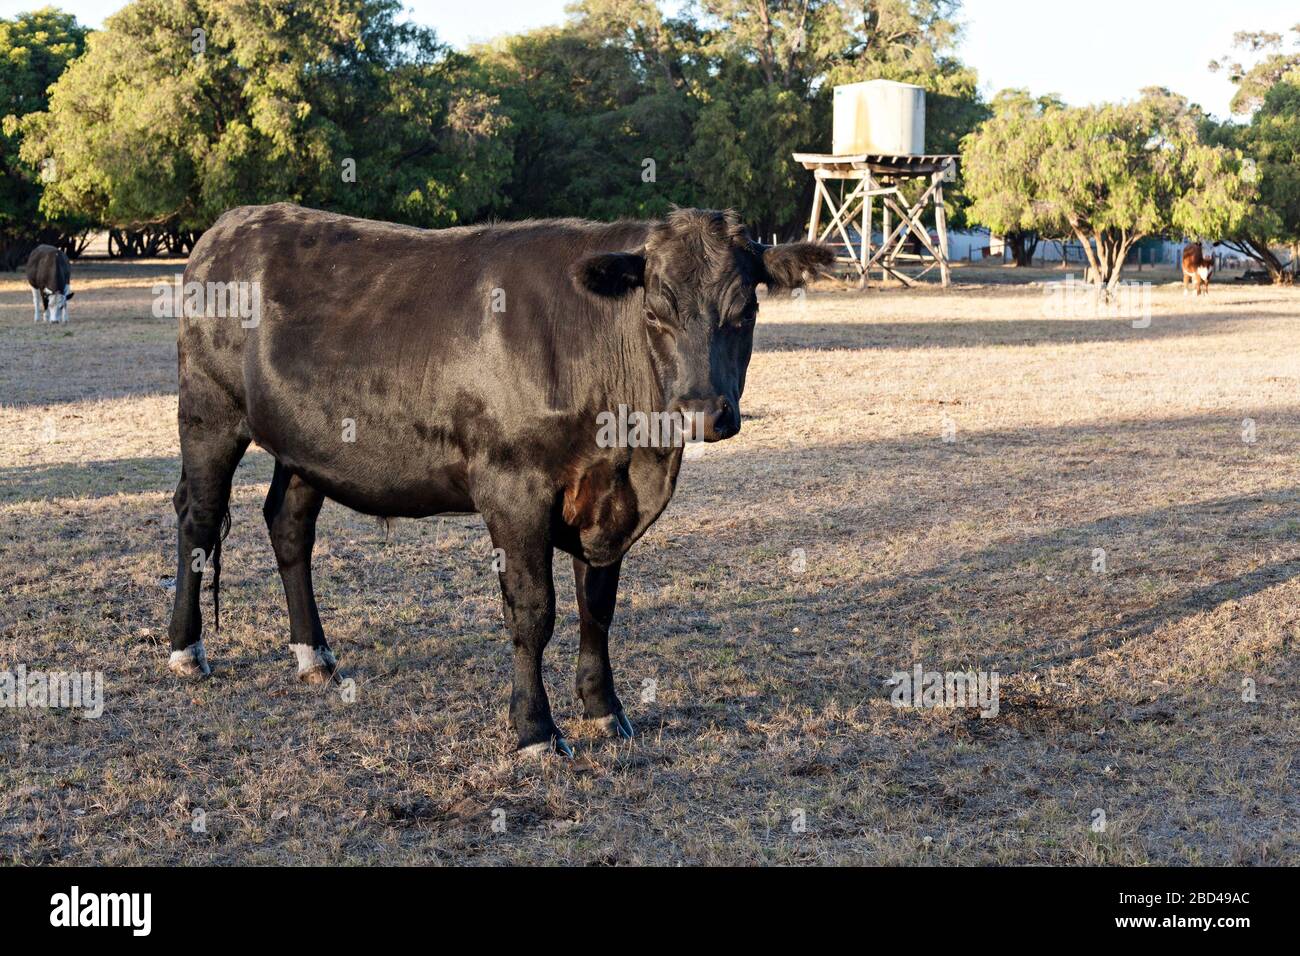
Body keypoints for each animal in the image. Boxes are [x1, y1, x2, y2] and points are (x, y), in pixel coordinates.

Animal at [167, 203, 832, 756]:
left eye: (746, 311)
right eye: (654, 311)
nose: (700, 411)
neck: (633, 454)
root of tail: (230, 224)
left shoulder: (603, 500)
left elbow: (598, 605)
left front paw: (603, 708)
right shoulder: (512, 488)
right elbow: (534, 610)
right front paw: (536, 730)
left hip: (307, 442)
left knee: (289, 525)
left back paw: (314, 656)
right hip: (208, 413)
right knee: (198, 520)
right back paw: (186, 652)